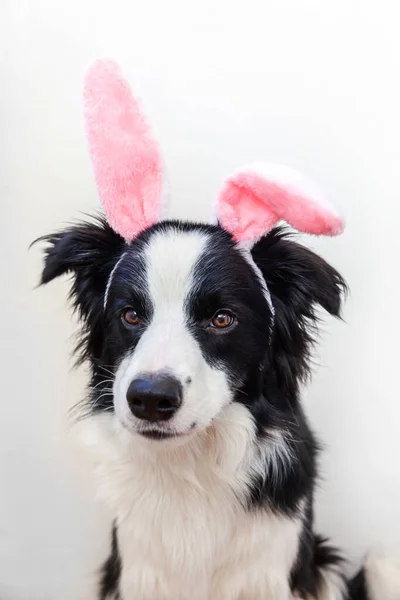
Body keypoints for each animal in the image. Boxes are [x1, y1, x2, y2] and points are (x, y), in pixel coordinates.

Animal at [36, 59, 398, 600]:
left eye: (221, 318)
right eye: (130, 314)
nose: (150, 399)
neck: (191, 466)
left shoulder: (270, 570)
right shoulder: (137, 570)